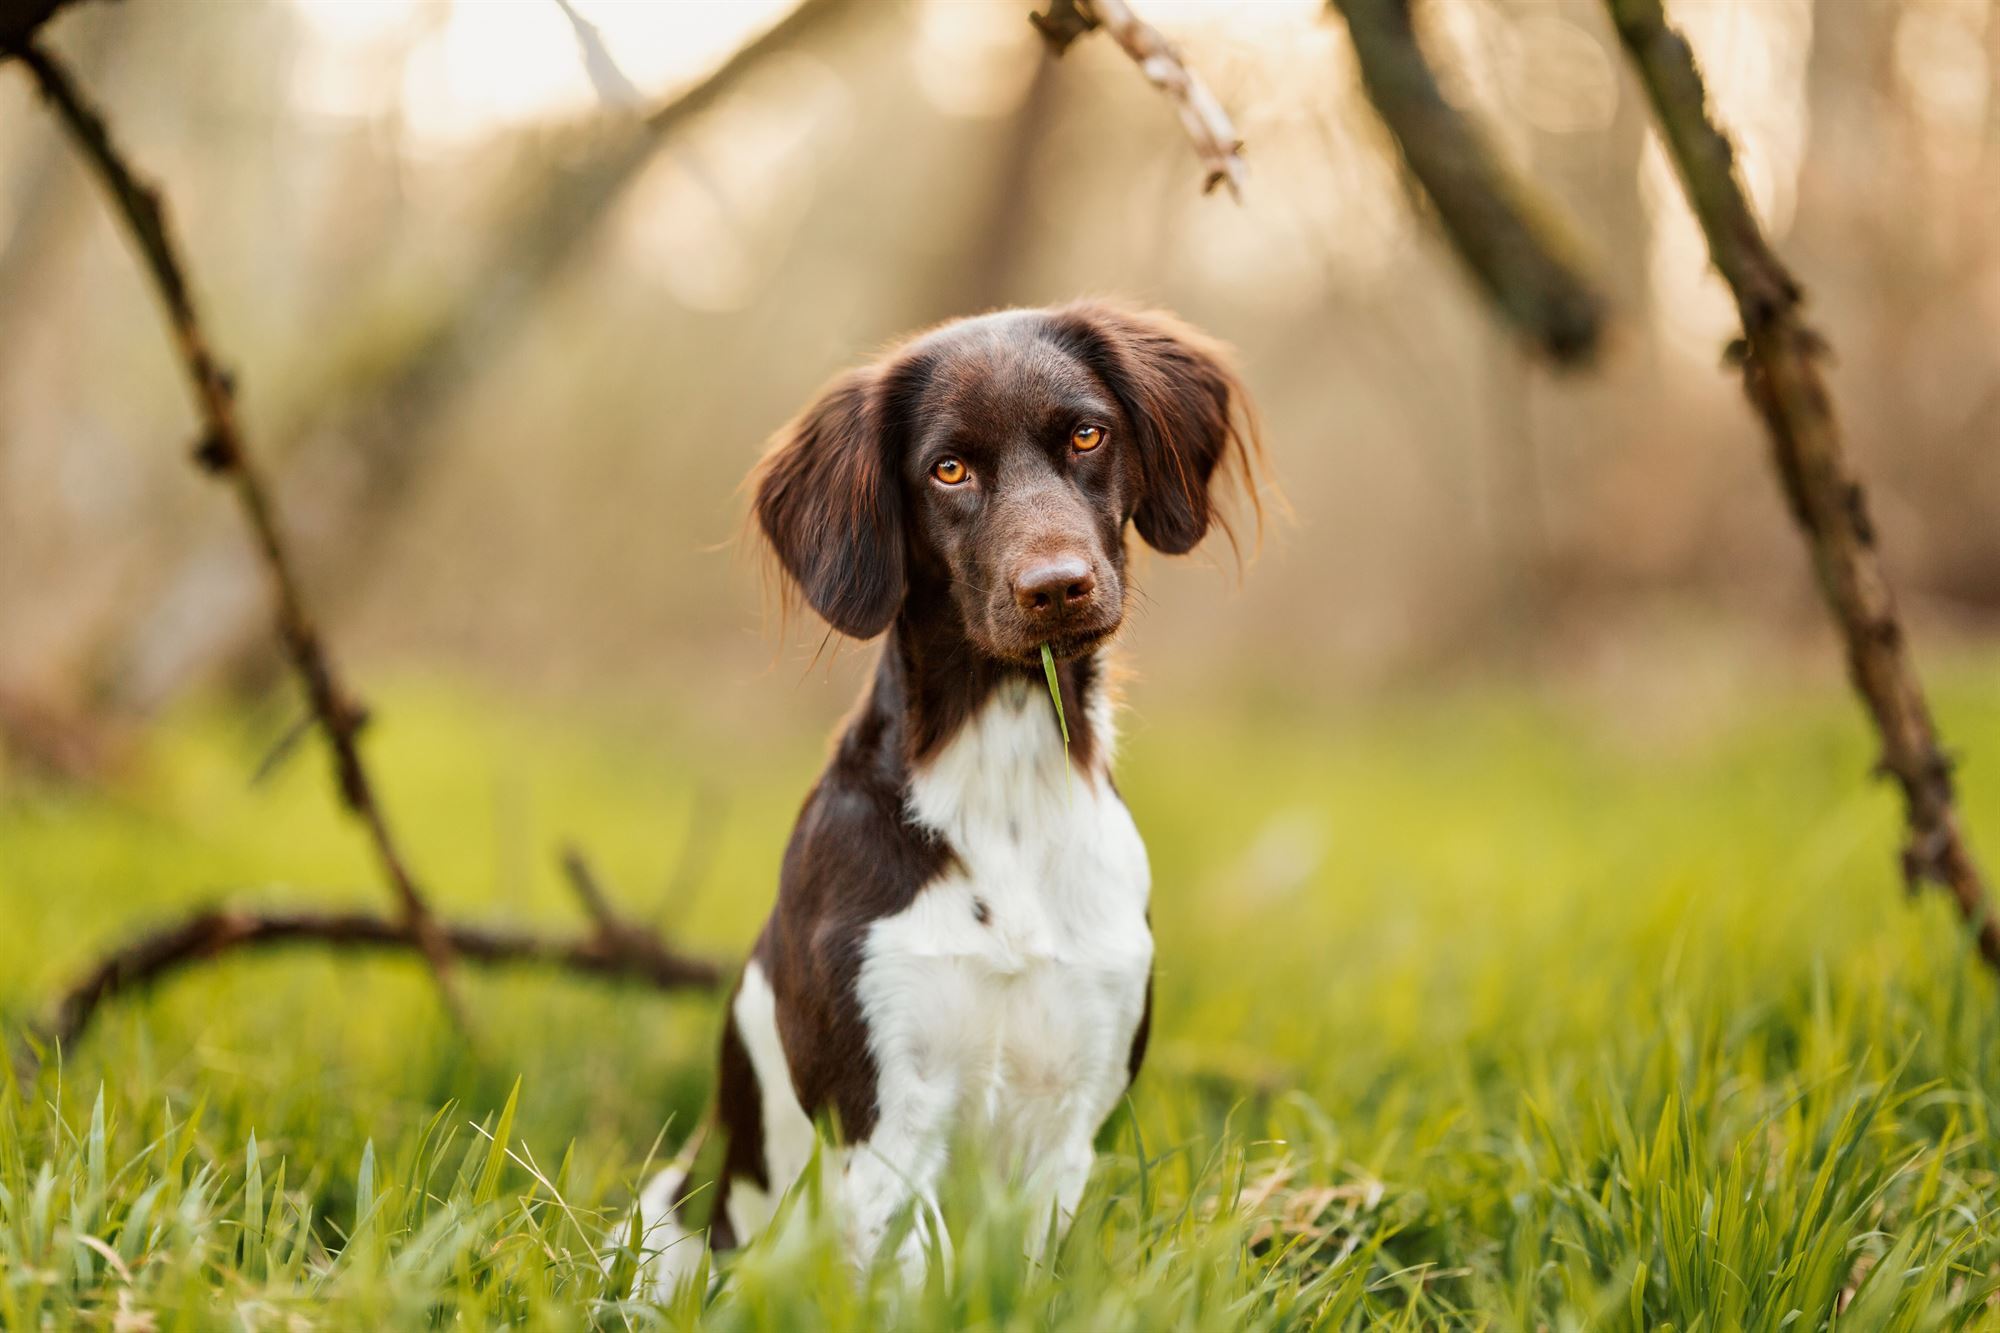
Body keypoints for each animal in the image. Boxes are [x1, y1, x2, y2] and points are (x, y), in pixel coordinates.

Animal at [628, 300, 1248, 1288]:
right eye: (947, 468)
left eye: (1088, 434)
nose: (1057, 586)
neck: (1004, 788)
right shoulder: (883, 1120)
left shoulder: (1069, 1112)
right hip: (662, 1227)